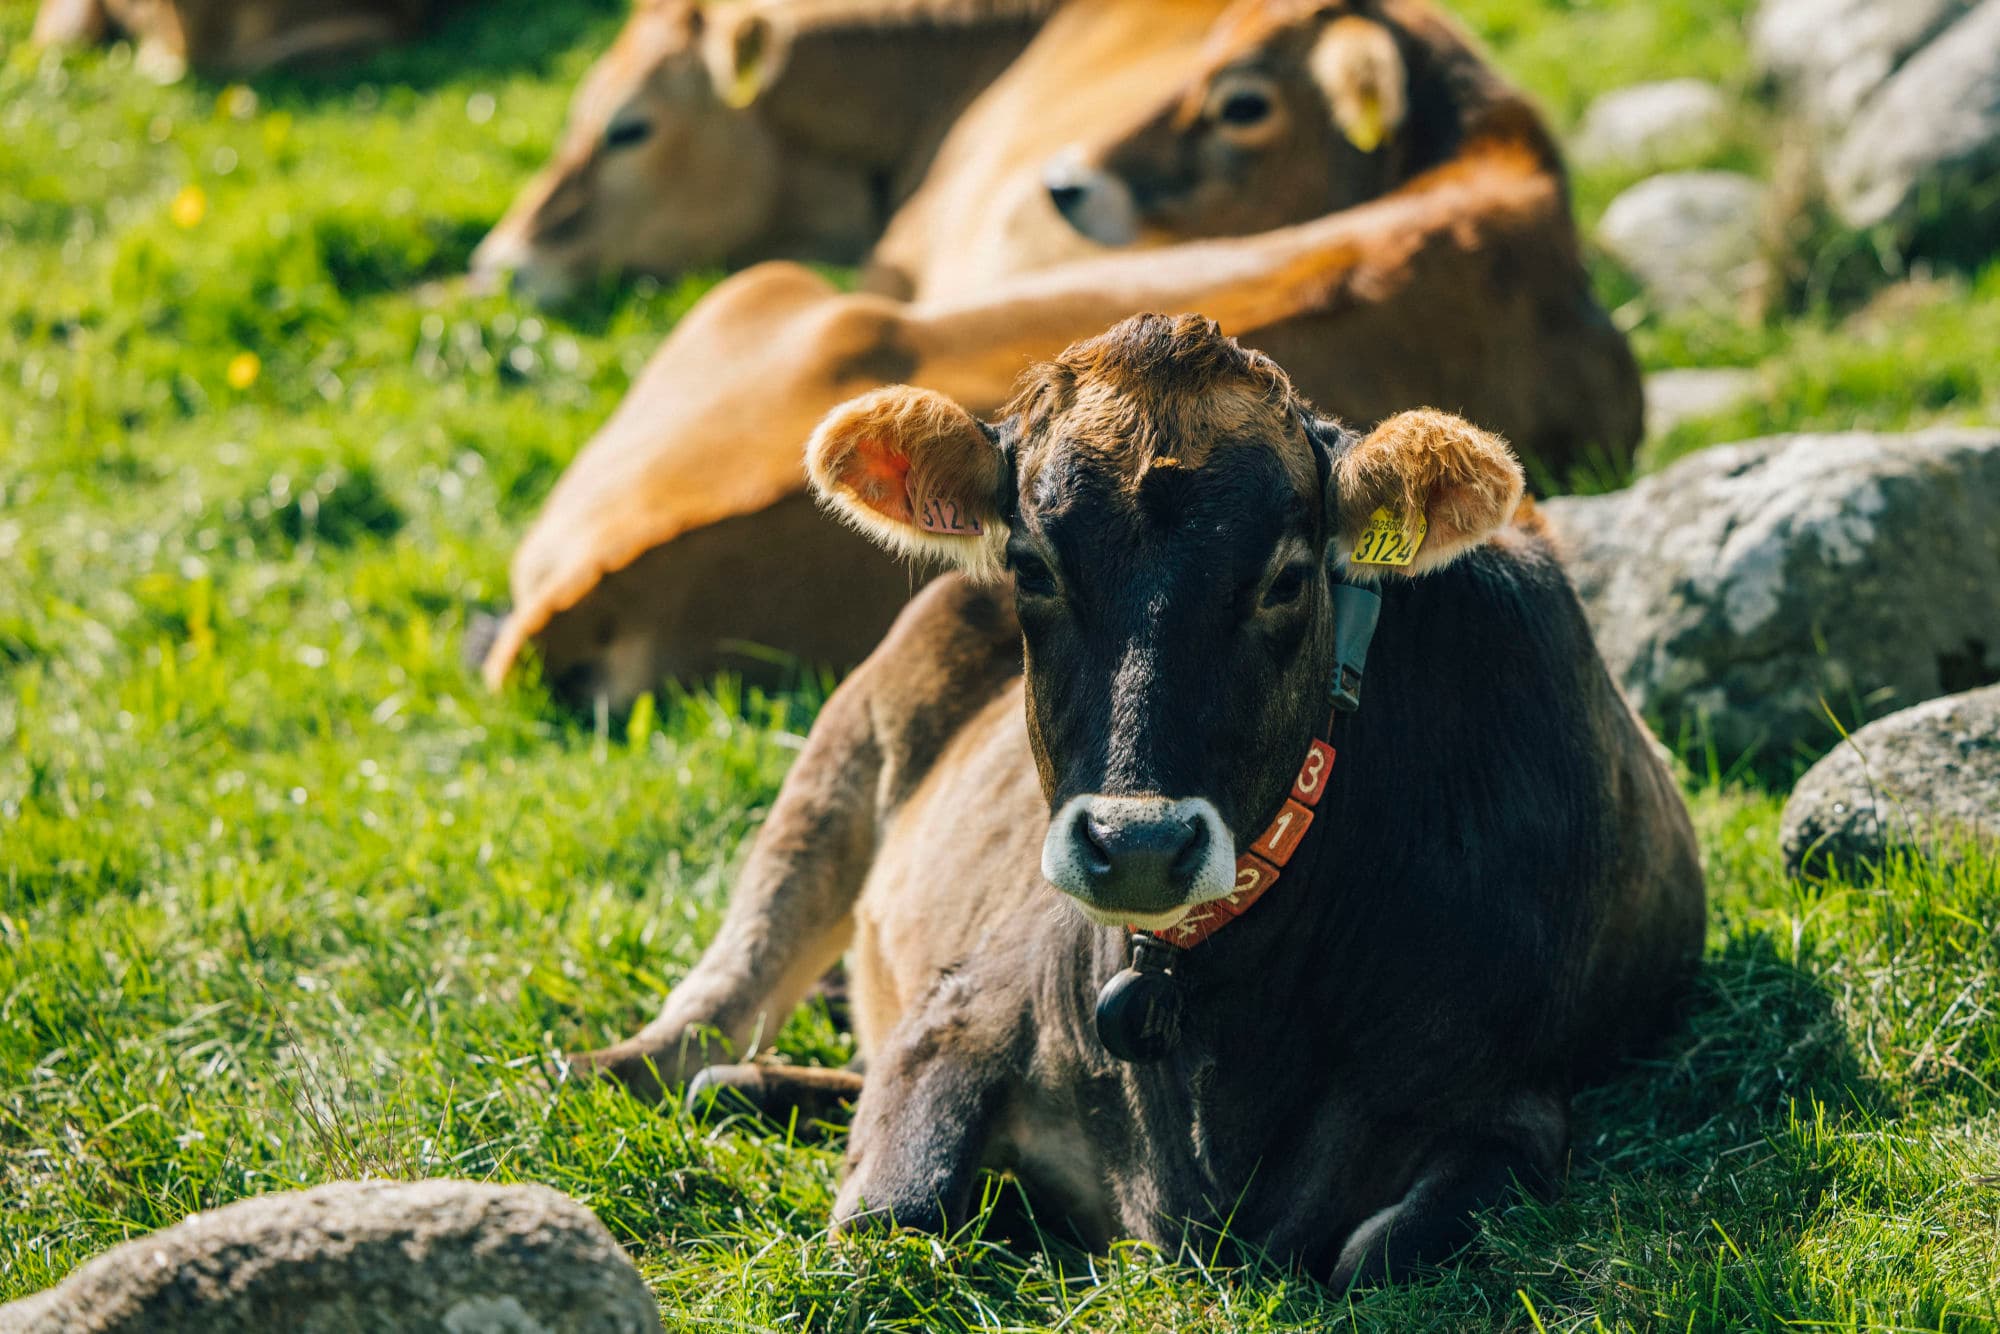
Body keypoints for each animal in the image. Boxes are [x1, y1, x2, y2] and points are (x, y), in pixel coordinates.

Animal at [569, 315, 1704, 1285]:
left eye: (1288, 577)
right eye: (1031, 565)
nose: (1141, 842)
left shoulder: (1509, 1105)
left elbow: (1377, 1251)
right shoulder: (960, 1008)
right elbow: (891, 1218)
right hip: (843, 754)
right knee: (729, 981)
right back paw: (612, 1070)